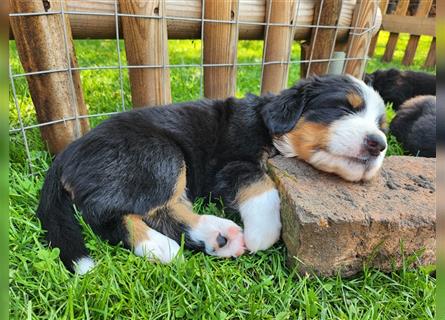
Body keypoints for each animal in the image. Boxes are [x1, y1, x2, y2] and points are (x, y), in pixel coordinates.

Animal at [36, 74, 386, 274]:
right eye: (344, 108)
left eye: (380, 124)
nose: (379, 144)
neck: (271, 133)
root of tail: (66, 153)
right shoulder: (232, 164)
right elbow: (264, 187)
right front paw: (263, 232)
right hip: (159, 154)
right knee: (104, 213)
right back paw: (158, 247)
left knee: (166, 208)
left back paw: (218, 236)